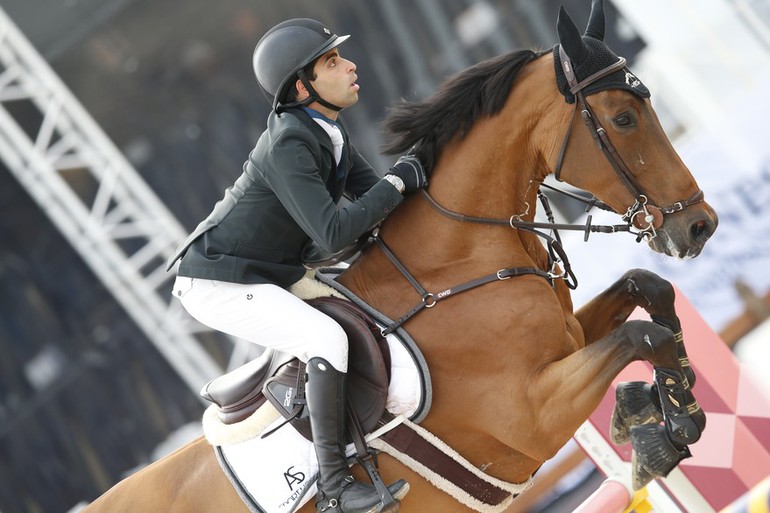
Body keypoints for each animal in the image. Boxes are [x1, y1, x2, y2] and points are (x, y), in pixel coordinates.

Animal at [82, 2, 712, 510]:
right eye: (623, 118)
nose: (699, 226)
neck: (458, 261)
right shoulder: (531, 413)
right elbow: (641, 336)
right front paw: (668, 425)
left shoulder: (572, 341)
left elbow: (646, 289)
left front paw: (662, 410)